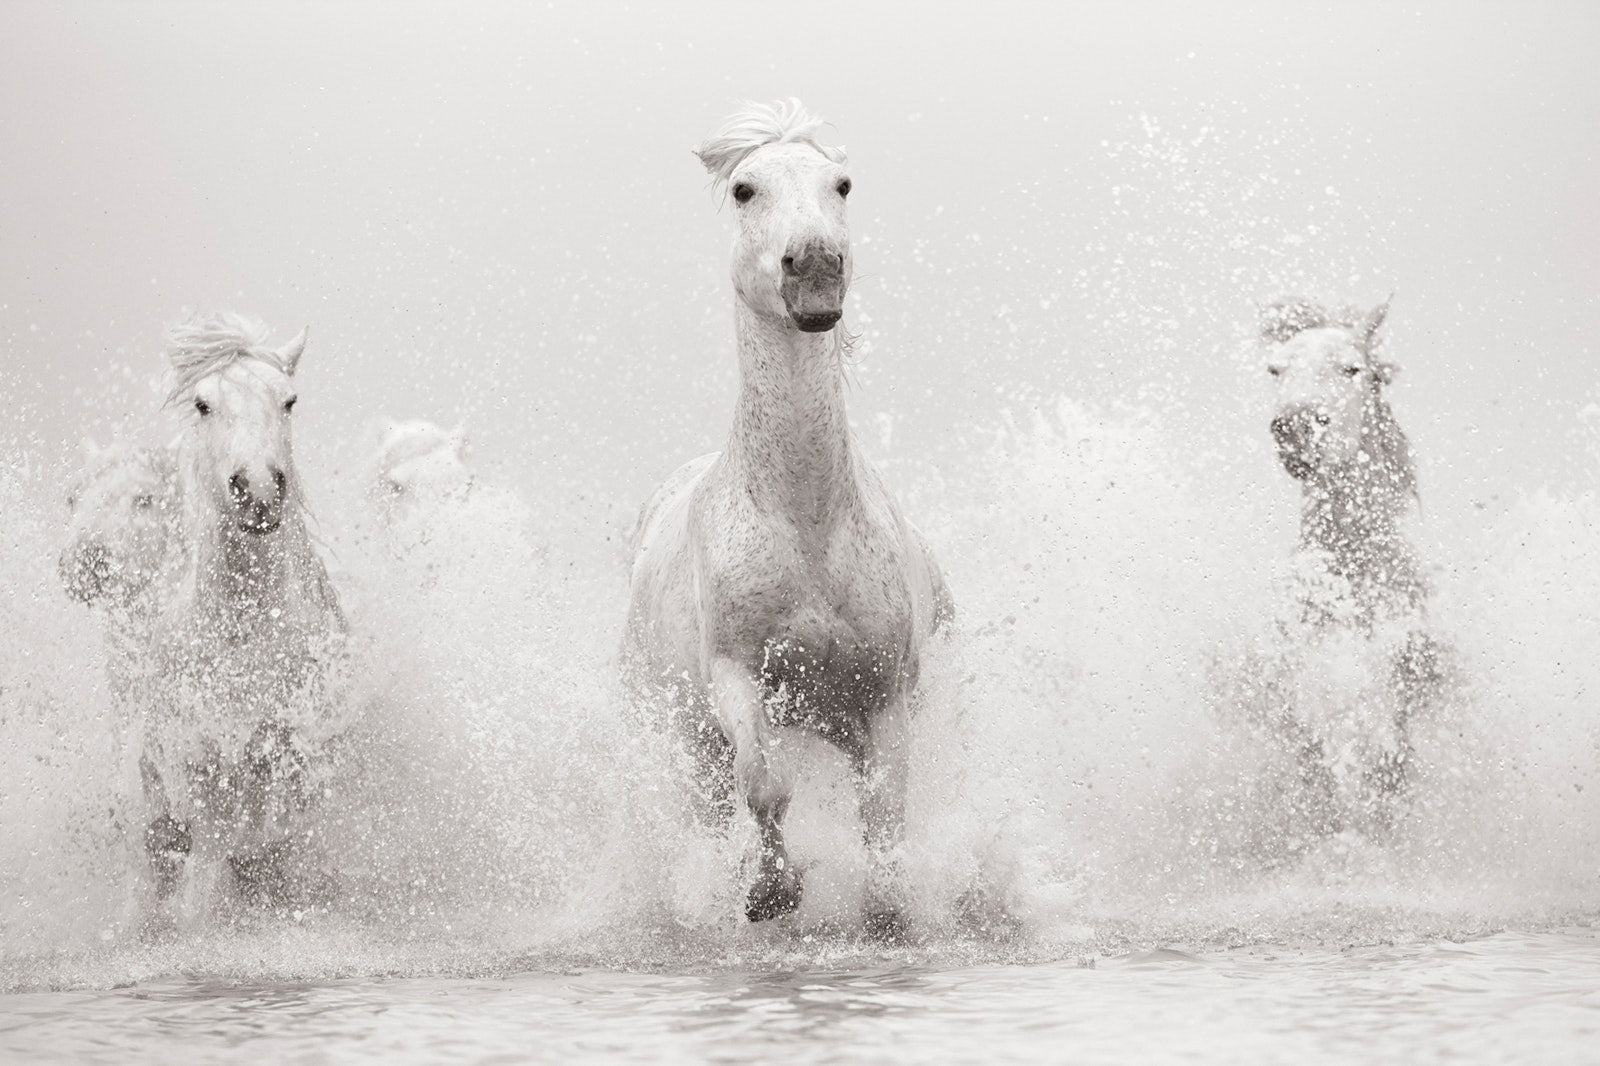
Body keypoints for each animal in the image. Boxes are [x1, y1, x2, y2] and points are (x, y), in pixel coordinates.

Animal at [141, 312, 347, 911]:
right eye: (202, 404)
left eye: (290, 400)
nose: (257, 489)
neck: (243, 631)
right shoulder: (197, 768)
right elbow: (208, 872)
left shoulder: (291, 762)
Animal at [622, 100, 953, 938]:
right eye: (745, 188)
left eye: (842, 184)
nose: (815, 267)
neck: (806, 524)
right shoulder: (736, 676)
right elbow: (765, 783)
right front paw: (770, 893)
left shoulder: (885, 695)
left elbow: (885, 812)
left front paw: (886, 911)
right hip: (684, 738)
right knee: (711, 809)